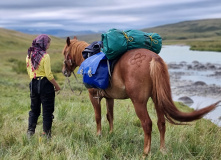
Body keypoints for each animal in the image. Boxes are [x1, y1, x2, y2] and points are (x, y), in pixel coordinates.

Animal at [61, 36, 220, 155]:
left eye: (64, 52)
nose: (64, 72)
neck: (88, 58)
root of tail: (154, 58)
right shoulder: (110, 98)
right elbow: (110, 116)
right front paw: (111, 134)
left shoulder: (94, 96)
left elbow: (98, 116)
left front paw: (98, 135)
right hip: (157, 100)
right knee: (161, 123)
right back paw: (162, 150)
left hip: (139, 102)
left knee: (147, 124)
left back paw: (145, 153)